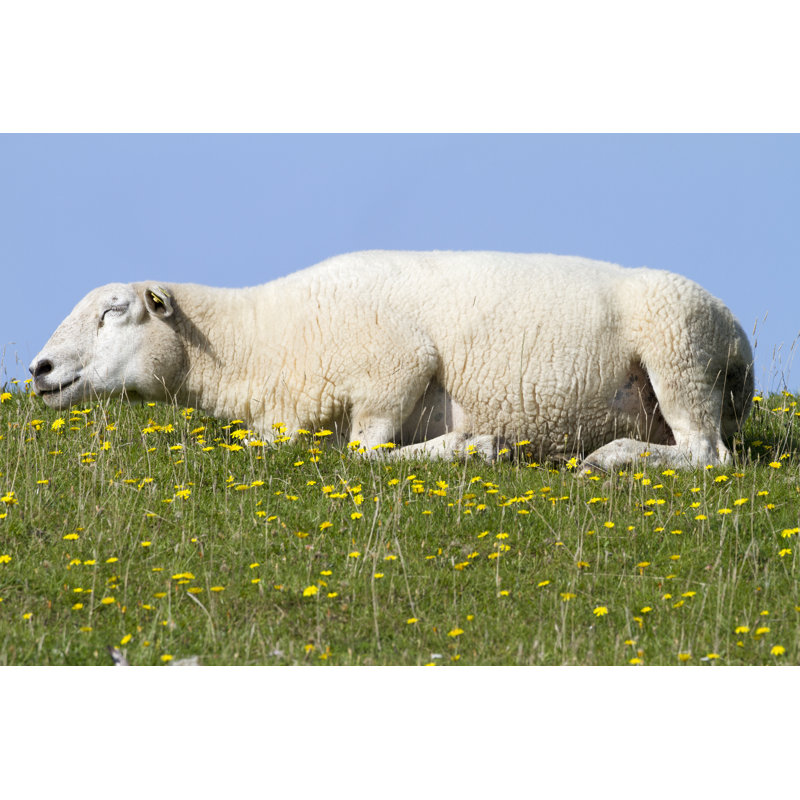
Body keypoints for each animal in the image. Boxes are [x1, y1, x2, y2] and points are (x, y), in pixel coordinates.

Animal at [29, 250, 754, 470]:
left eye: (114, 310)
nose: (38, 370)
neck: (264, 337)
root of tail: (735, 330)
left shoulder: (397, 369)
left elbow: (366, 454)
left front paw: (472, 445)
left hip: (678, 351)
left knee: (706, 455)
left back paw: (609, 459)